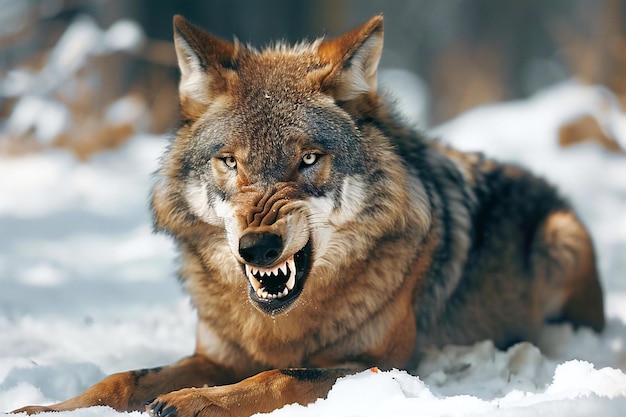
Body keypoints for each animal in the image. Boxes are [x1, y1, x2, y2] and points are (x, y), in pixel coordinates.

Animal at [12, 13, 604, 416]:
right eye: (230, 161)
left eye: (309, 159)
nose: (257, 247)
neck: (278, 324)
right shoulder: (218, 355)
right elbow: (123, 379)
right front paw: (45, 409)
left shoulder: (380, 363)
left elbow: (282, 374)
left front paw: (198, 400)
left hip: (561, 237)